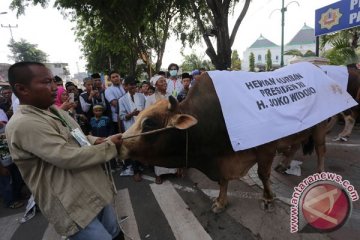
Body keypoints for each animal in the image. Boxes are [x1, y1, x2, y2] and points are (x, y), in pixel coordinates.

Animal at [119, 73, 328, 212]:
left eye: (148, 123)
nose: (119, 142)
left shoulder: (266, 148)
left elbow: (262, 174)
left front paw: (268, 198)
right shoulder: (221, 159)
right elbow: (223, 181)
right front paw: (220, 202)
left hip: (319, 127)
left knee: (320, 149)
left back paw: (320, 172)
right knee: (295, 146)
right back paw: (284, 165)